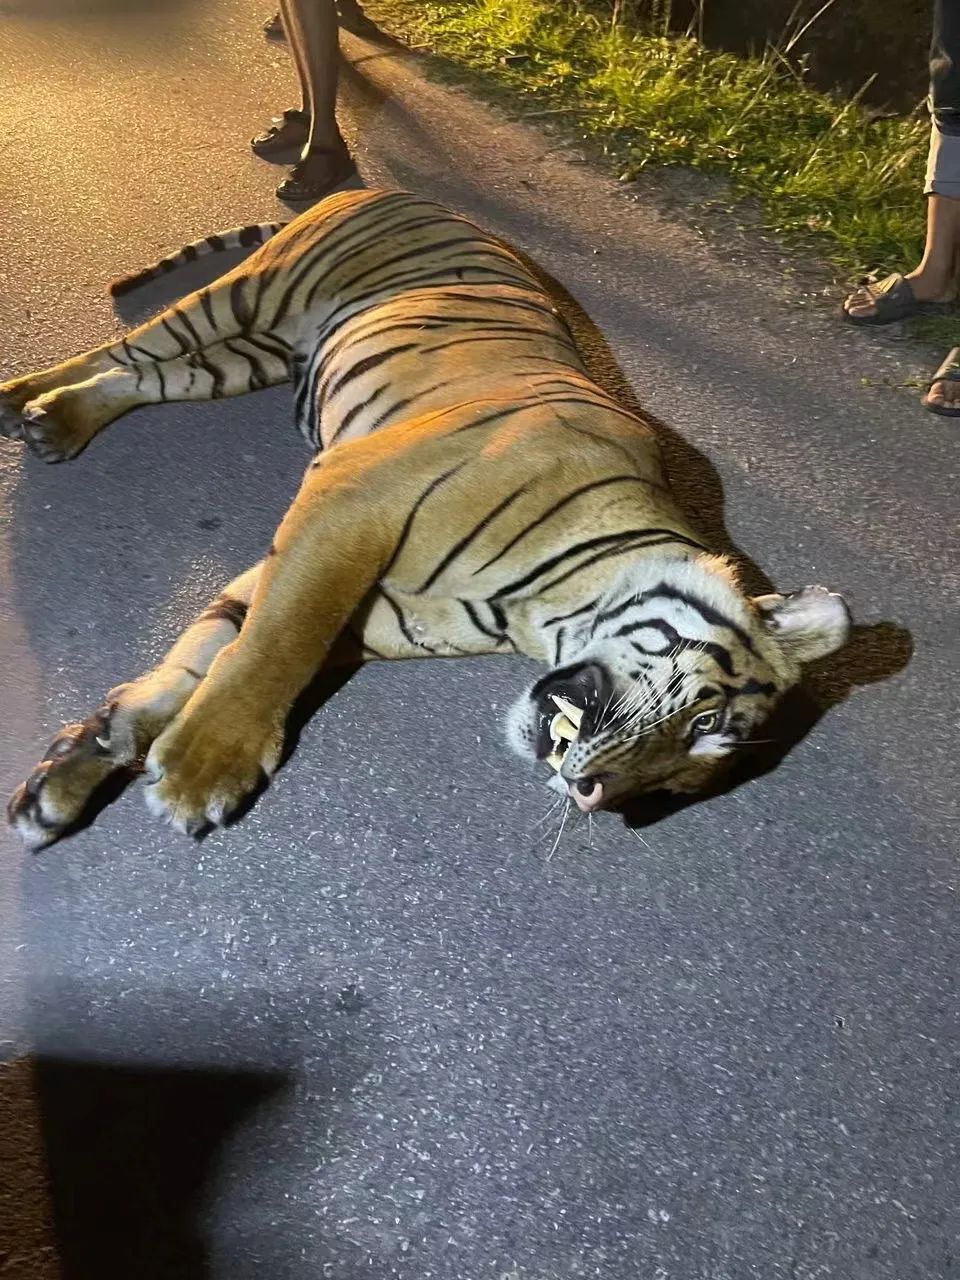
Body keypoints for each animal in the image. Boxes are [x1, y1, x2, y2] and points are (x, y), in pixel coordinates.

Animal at [1, 187, 851, 848]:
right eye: (705, 720)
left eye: (674, 786)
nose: (596, 797)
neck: (535, 612)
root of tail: (392, 189)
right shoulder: (350, 503)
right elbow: (276, 647)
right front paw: (203, 769)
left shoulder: (360, 616)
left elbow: (206, 658)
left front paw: (73, 774)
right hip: (247, 297)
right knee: (125, 347)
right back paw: (21, 398)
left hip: (250, 355)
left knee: (146, 375)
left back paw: (55, 422)